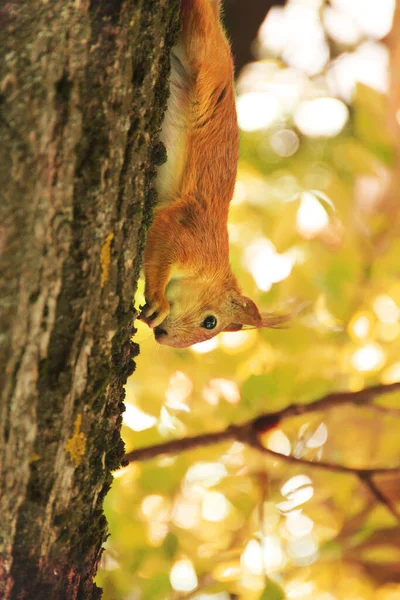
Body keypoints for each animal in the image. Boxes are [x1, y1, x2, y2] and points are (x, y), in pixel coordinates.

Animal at [139, 0, 282, 346]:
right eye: (210, 322)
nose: (163, 337)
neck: (213, 265)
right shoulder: (187, 232)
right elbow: (161, 246)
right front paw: (158, 300)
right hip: (202, 46)